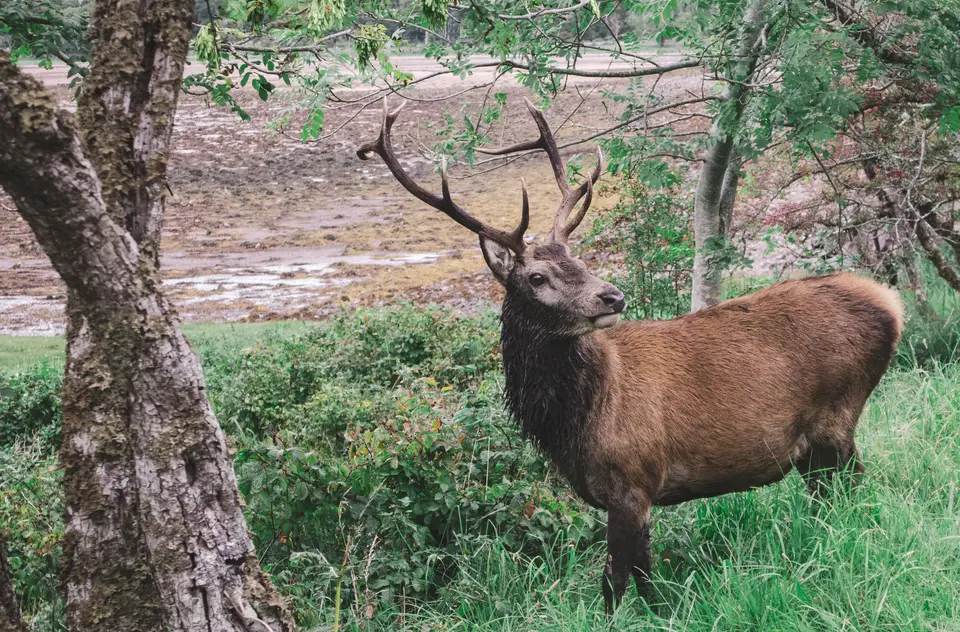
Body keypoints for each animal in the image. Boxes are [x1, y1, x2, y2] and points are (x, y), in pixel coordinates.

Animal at [357, 97, 904, 614]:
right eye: (537, 277)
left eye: (579, 260)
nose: (612, 296)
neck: (575, 425)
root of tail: (892, 304)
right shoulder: (627, 495)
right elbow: (645, 575)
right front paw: (663, 613)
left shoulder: (632, 480)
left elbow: (614, 582)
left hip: (836, 416)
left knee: (853, 492)